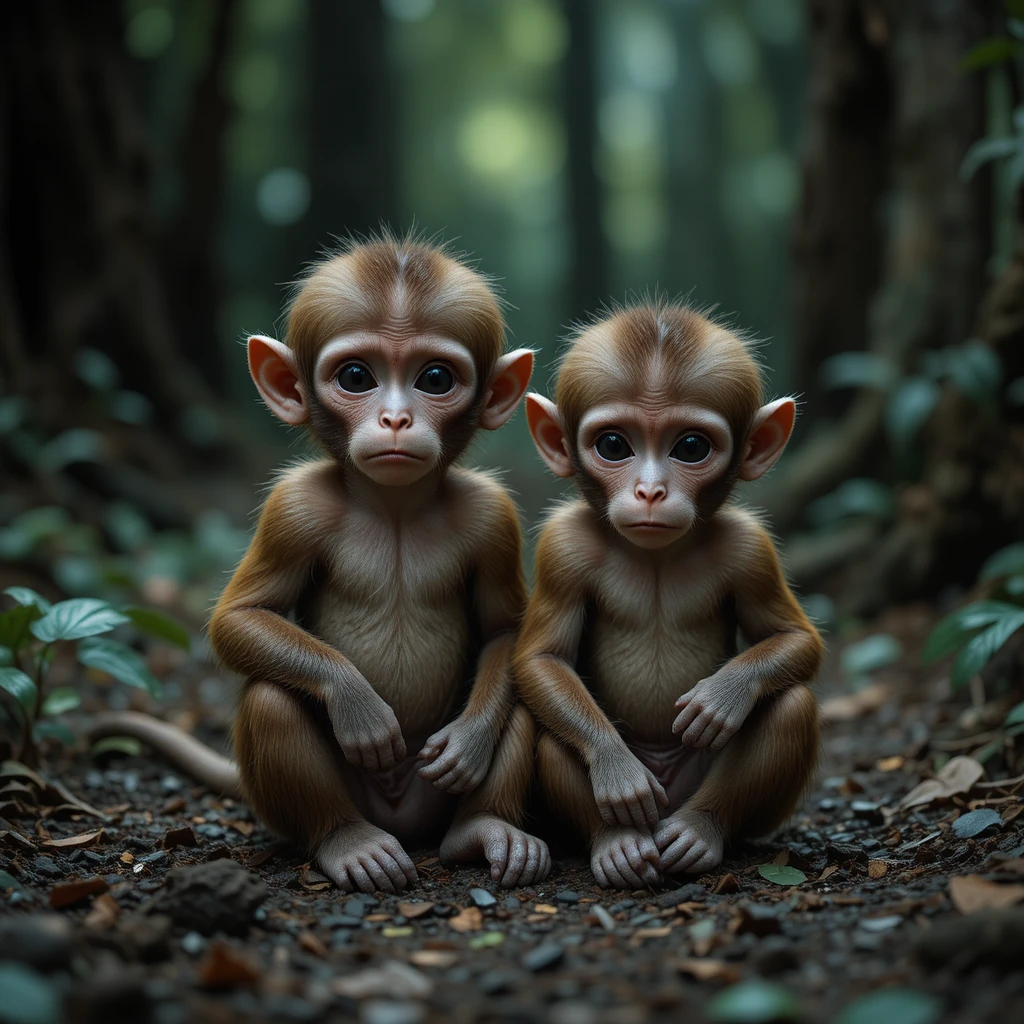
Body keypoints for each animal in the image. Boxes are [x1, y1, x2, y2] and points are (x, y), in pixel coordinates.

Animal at [92, 233, 551, 894]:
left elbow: (502, 630)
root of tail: (400, 815)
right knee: (271, 699)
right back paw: (347, 841)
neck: (393, 507)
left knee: (516, 705)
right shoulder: (294, 507)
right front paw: (354, 701)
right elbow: (240, 619)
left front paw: (467, 741)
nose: (395, 419)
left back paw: (482, 827)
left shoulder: (494, 517)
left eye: (435, 379)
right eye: (356, 377)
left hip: (429, 793)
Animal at [512, 301, 823, 889]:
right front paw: (613, 766)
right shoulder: (562, 546)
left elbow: (795, 638)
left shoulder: (750, 547)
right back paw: (619, 841)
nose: (651, 491)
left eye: (691, 447)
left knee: (790, 705)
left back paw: (699, 831)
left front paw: (724, 693)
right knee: (549, 730)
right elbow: (543, 659)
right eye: (613, 445)